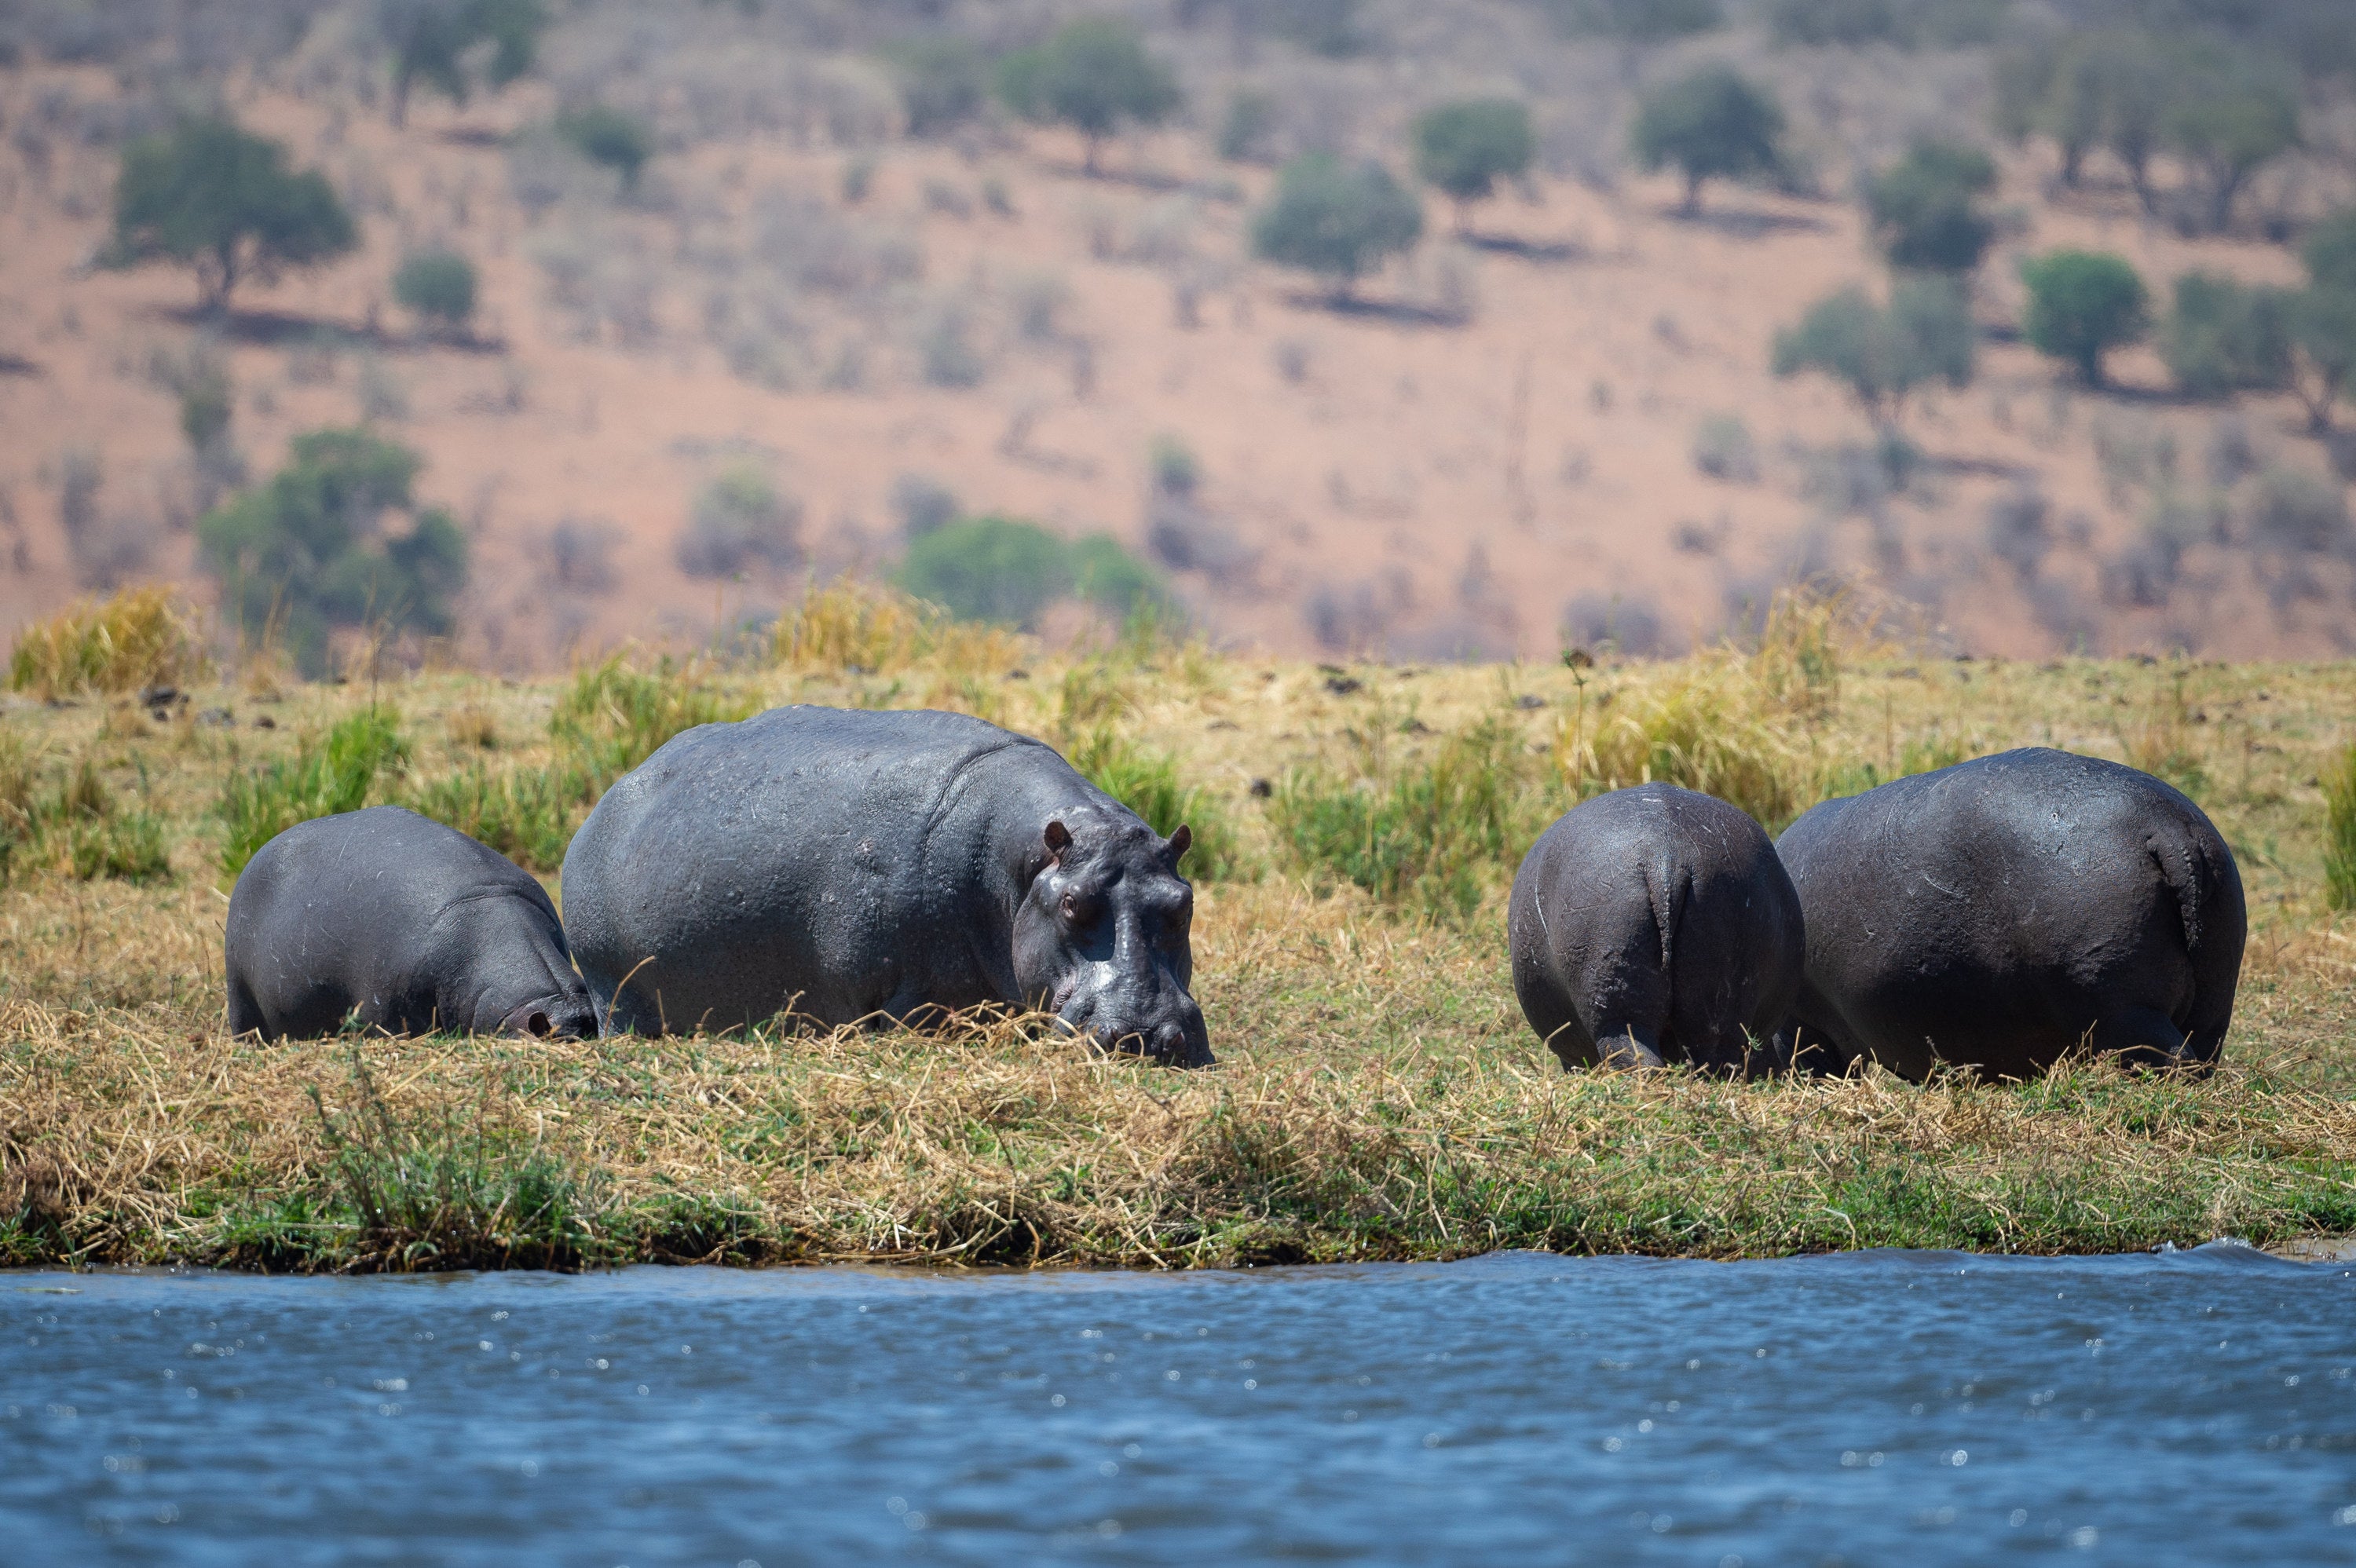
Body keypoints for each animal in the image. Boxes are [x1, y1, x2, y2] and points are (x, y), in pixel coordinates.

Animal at [554, 706, 1216, 1064]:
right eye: (1073, 904)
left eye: (1183, 904)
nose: (1150, 1034)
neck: (1025, 862)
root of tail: (607, 800)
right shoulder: (905, 1003)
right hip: (617, 996)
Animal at [1781, 744, 2243, 1073]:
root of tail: (2165, 828)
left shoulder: (1803, 1030)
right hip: (2213, 1001)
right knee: (2199, 1056)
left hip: (2116, 1002)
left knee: (2171, 1060)